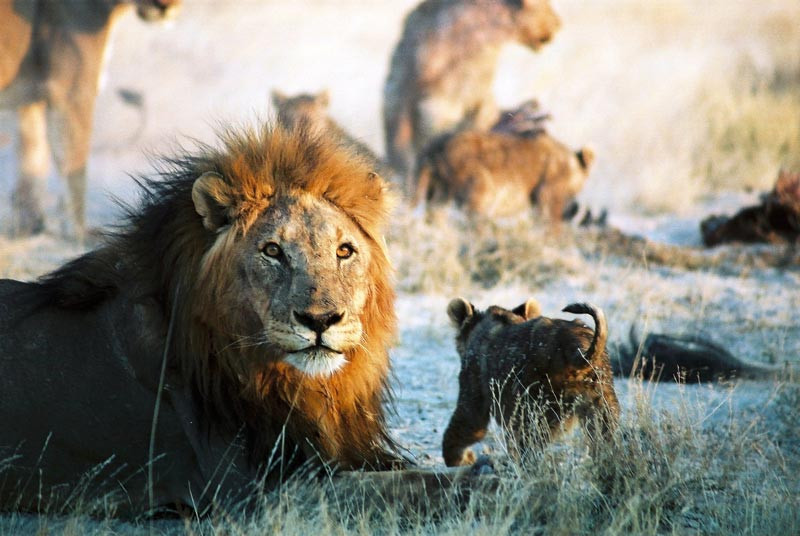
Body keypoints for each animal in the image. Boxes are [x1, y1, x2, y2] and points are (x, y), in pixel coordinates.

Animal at [0, 121, 482, 516]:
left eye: (345, 250)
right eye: (272, 250)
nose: (321, 320)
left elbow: (413, 476)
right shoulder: (260, 492)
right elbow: (412, 486)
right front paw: (487, 481)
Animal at [1, 0, 180, 239]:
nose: (166, 7)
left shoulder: (31, 99)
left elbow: (32, 162)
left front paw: (30, 227)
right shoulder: (73, 93)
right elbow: (75, 169)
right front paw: (80, 233)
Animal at [444, 298, 620, 464]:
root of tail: (574, 345)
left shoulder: (473, 391)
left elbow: (464, 426)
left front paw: (459, 458)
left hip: (533, 412)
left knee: (531, 451)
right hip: (602, 405)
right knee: (604, 442)